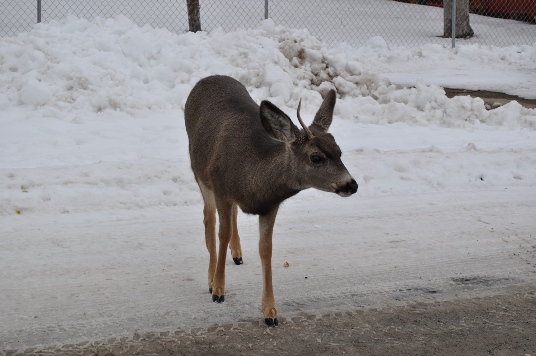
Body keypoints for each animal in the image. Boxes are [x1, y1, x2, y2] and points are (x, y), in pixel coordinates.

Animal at [183, 76, 356, 328]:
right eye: (316, 157)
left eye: (340, 152)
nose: (351, 184)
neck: (253, 179)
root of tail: (208, 78)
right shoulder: (221, 189)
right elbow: (221, 234)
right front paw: (218, 289)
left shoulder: (270, 205)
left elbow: (266, 249)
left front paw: (270, 311)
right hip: (199, 172)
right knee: (208, 218)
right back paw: (211, 276)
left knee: (232, 215)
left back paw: (237, 254)